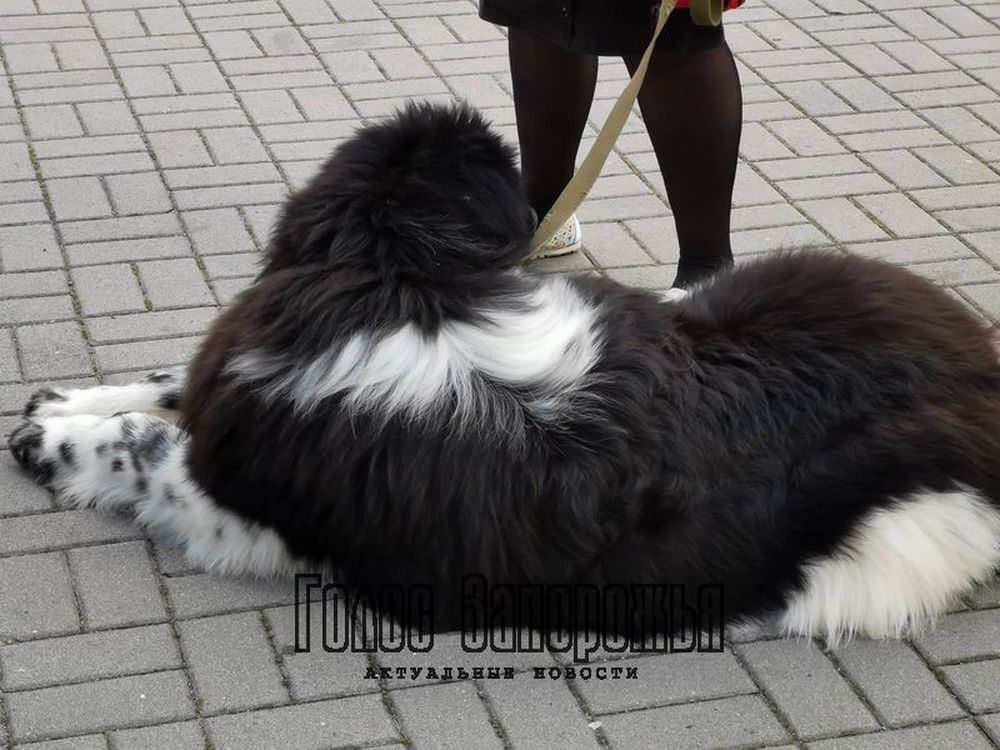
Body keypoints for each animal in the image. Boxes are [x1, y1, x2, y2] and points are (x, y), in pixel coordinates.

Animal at [7, 101, 1000, 648]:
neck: (405, 278)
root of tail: (977, 368)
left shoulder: (250, 508)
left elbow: (147, 446)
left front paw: (53, 442)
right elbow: (168, 385)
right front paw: (63, 401)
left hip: (878, 550)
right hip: (763, 287)